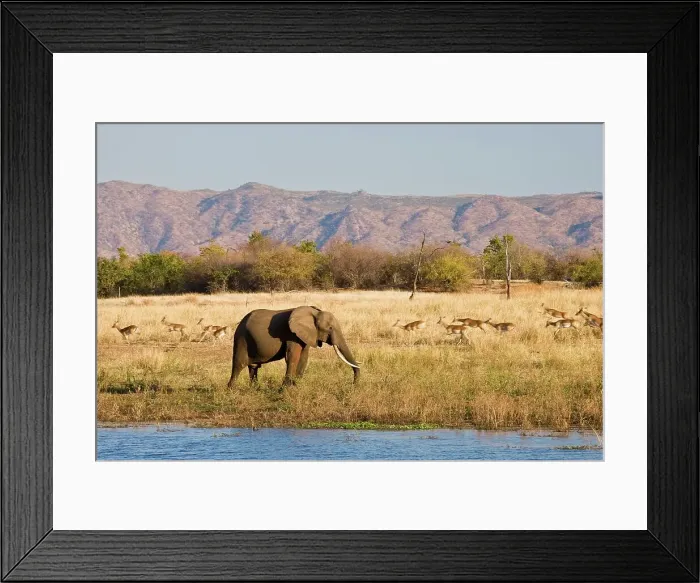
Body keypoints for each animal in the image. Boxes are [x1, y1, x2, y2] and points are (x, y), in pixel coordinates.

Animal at [226, 305, 361, 389]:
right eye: (330, 328)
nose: (353, 385)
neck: (314, 313)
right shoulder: (291, 334)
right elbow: (292, 357)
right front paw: (285, 389)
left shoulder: (306, 335)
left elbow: (304, 357)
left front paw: (296, 385)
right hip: (241, 338)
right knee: (238, 365)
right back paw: (231, 390)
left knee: (253, 367)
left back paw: (255, 389)